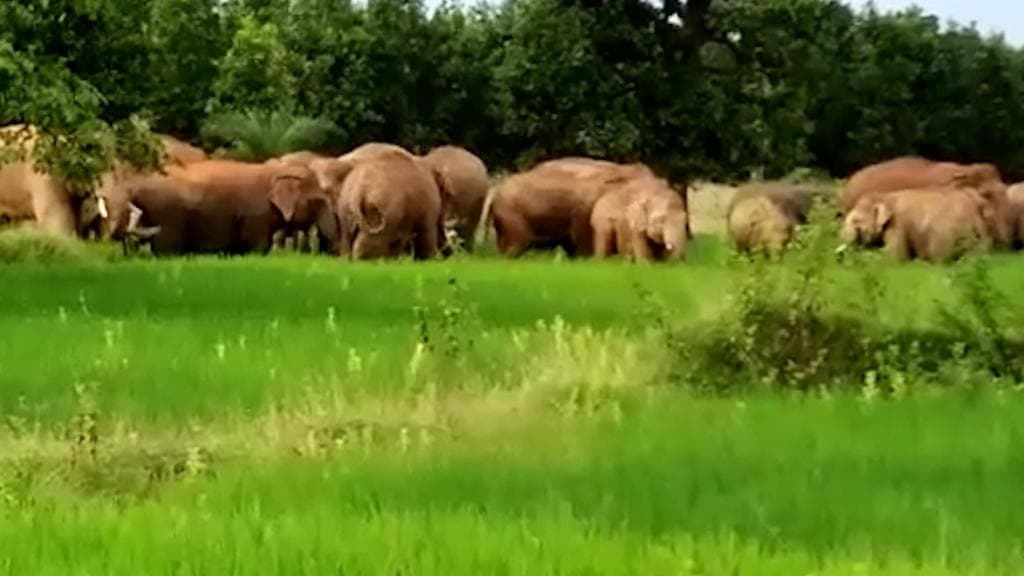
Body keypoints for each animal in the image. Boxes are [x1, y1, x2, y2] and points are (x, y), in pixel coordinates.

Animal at [110, 159, 341, 256]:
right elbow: (259, 245)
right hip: (168, 216)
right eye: (318, 201)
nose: (332, 253)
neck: (276, 172)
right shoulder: (255, 215)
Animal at [840, 186, 991, 263]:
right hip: (980, 237)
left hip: (946, 234)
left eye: (855, 220)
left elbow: (895, 256)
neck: (884, 196)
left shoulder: (897, 225)